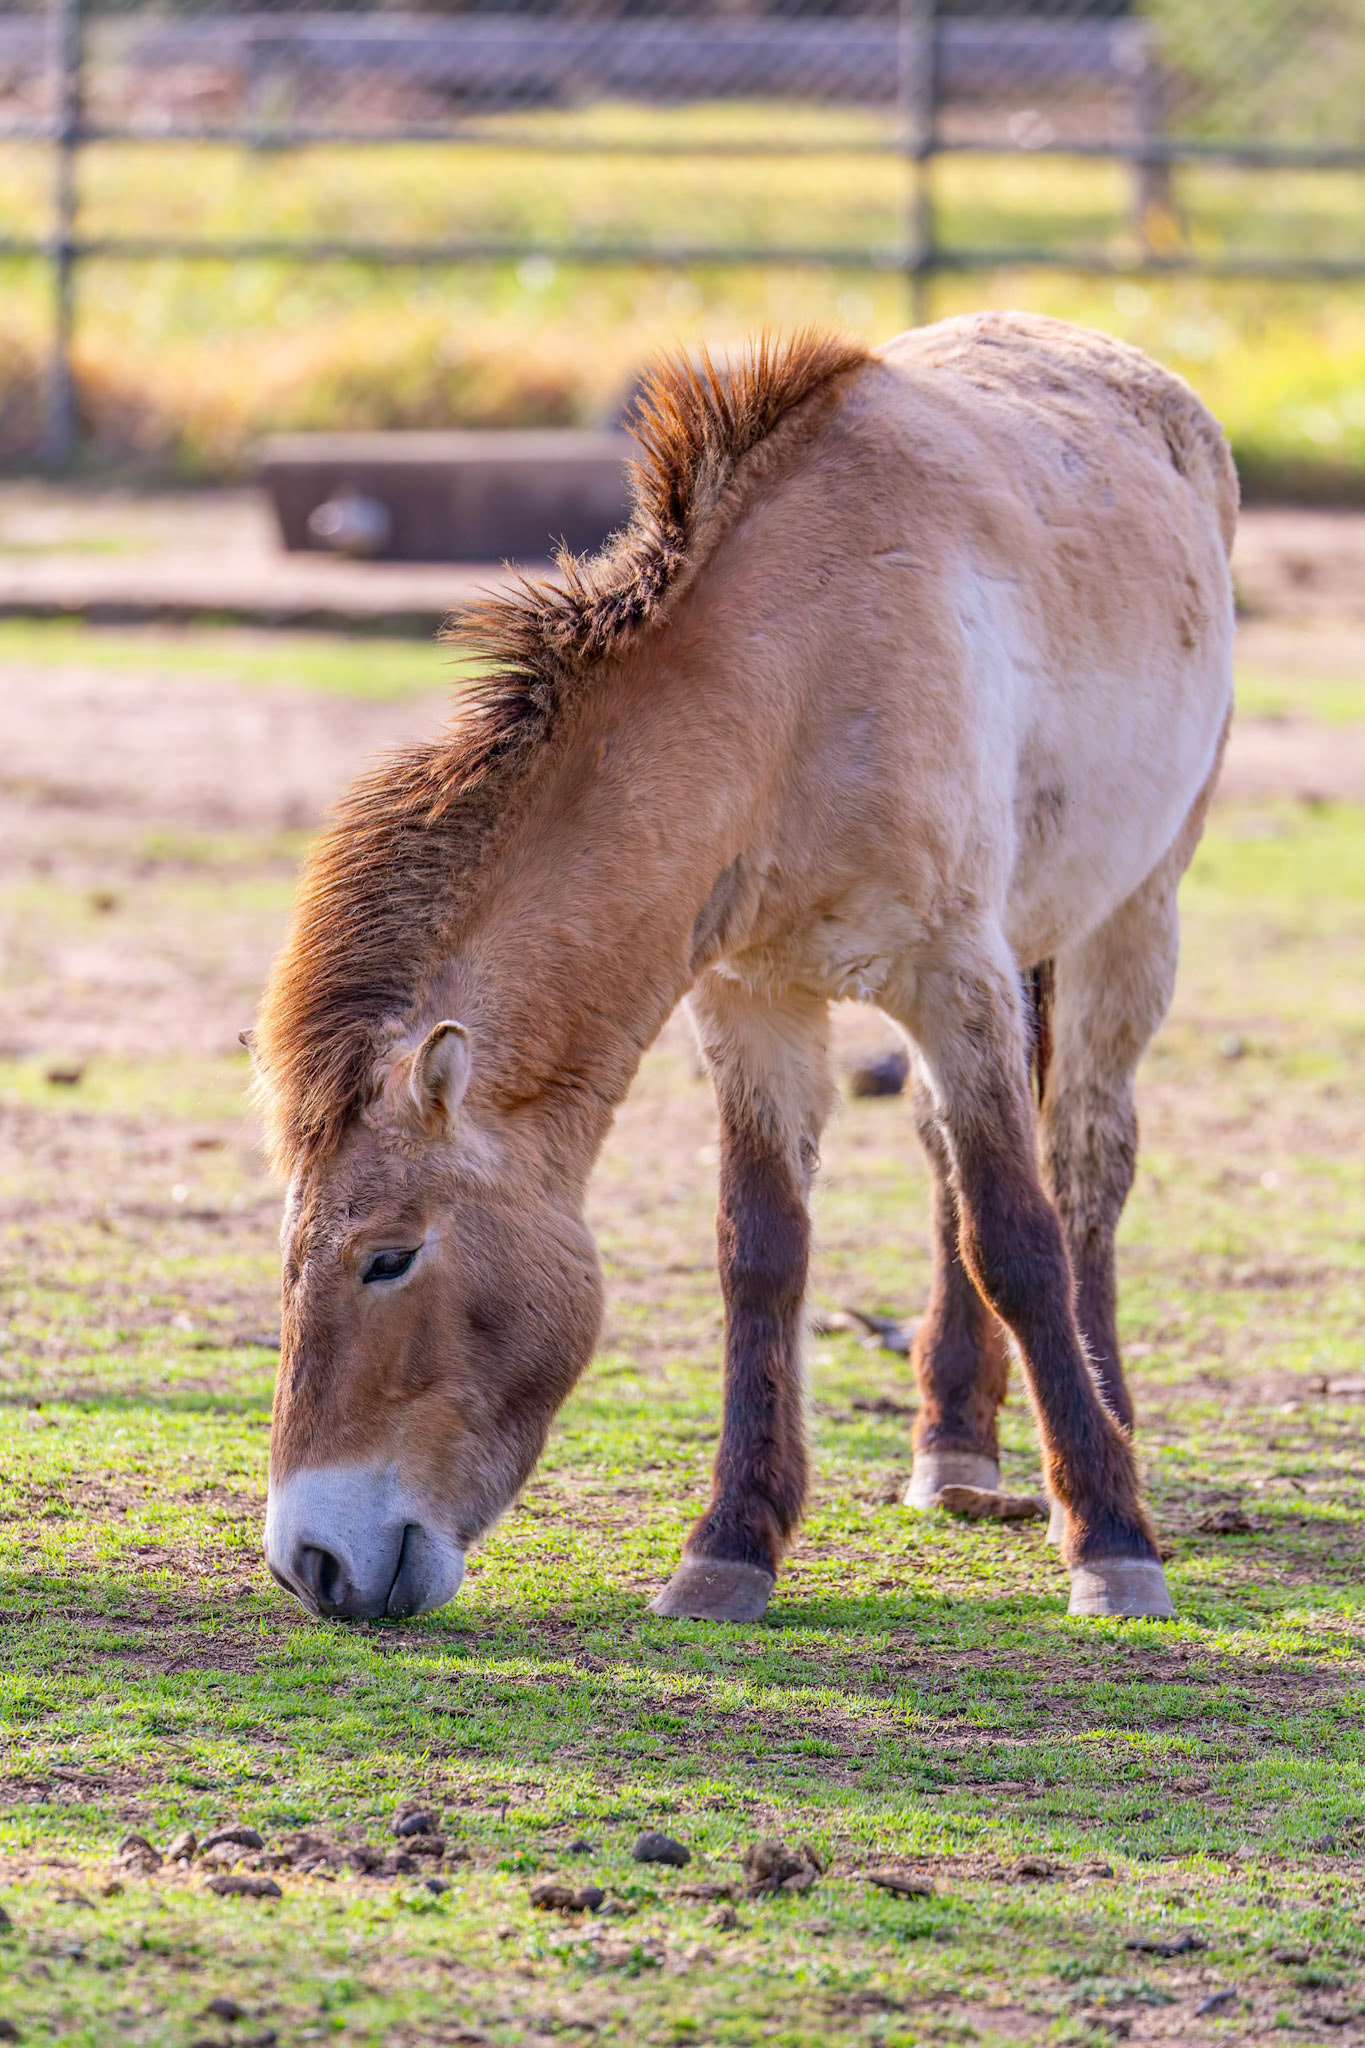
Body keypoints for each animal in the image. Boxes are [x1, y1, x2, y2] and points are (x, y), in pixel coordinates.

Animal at [249, 312, 1236, 1626]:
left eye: (388, 1255)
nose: (310, 1560)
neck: (795, 685)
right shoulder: (755, 998)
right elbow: (762, 1252)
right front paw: (730, 1547)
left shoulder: (952, 973)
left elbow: (1019, 1240)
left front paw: (1114, 1539)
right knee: (947, 1158)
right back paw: (957, 1450)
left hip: (1131, 917)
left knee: (1082, 1164)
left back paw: (1106, 1426)